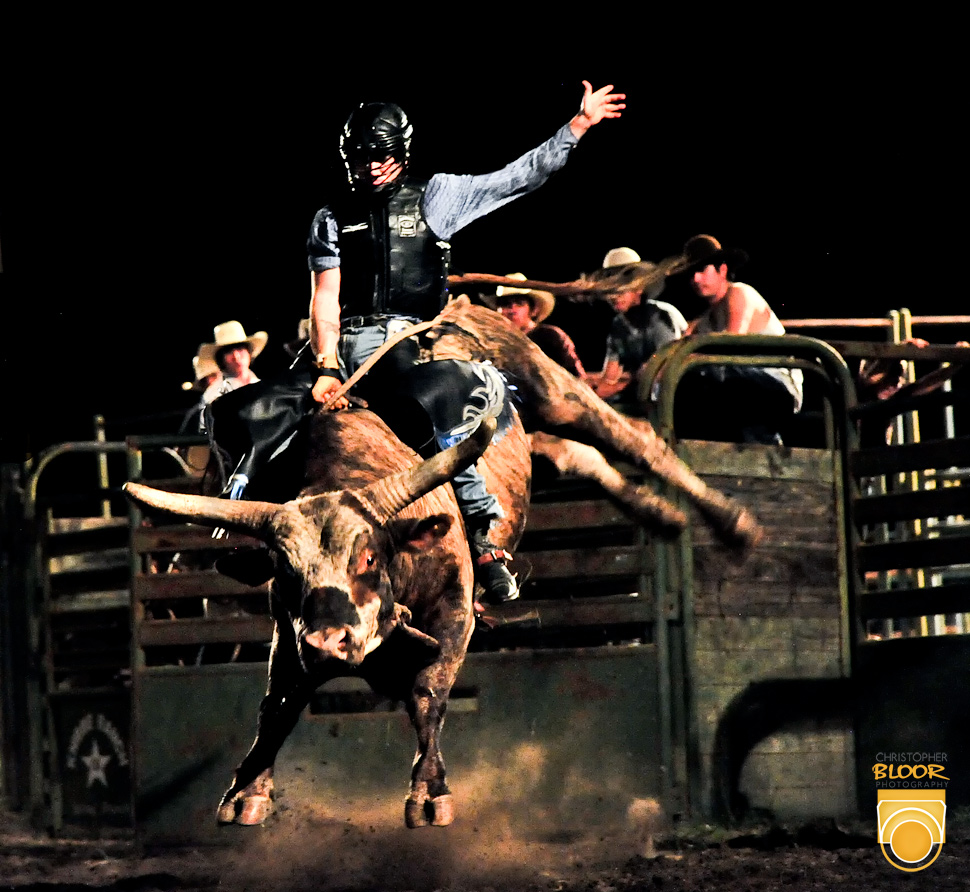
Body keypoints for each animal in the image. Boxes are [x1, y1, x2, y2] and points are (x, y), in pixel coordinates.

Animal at [125, 408, 530, 830]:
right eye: (286, 571)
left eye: (368, 558)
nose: (327, 643)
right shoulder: (289, 638)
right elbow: (277, 707)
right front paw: (246, 791)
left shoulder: (454, 613)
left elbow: (426, 694)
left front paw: (429, 792)